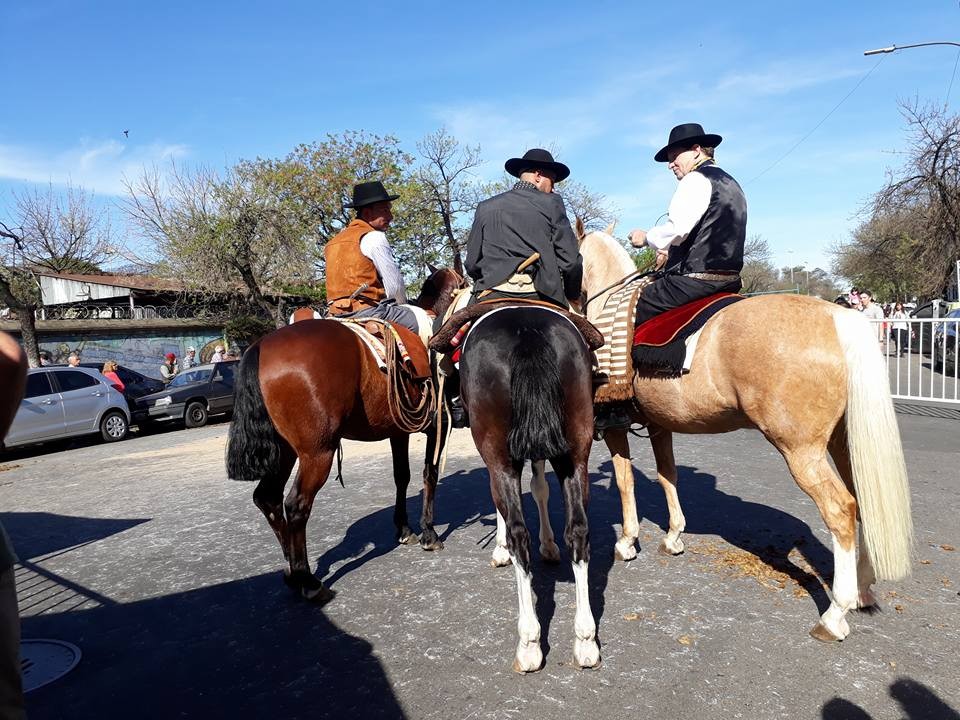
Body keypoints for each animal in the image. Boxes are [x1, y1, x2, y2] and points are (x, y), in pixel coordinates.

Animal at [225, 268, 464, 600]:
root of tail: (261, 347)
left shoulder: (399, 431)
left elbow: (401, 476)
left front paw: (404, 530)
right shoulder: (435, 426)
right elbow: (429, 473)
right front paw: (429, 532)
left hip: (285, 452)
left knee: (267, 498)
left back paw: (291, 571)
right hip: (317, 453)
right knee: (296, 505)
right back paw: (309, 581)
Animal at [460, 306, 600, 672]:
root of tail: (527, 331)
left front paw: (499, 549)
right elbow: (540, 488)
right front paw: (549, 545)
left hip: (497, 451)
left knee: (518, 535)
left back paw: (529, 643)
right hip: (576, 449)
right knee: (579, 531)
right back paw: (585, 638)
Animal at [572, 225, 912, 640]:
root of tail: (838, 318)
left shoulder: (616, 426)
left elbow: (625, 481)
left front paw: (627, 541)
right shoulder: (658, 425)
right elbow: (668, 476)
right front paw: (673, 536)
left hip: (802, 452)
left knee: (841, 509)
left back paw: (835, 615)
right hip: (843, 445)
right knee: (861, 501)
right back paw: (862, 591)